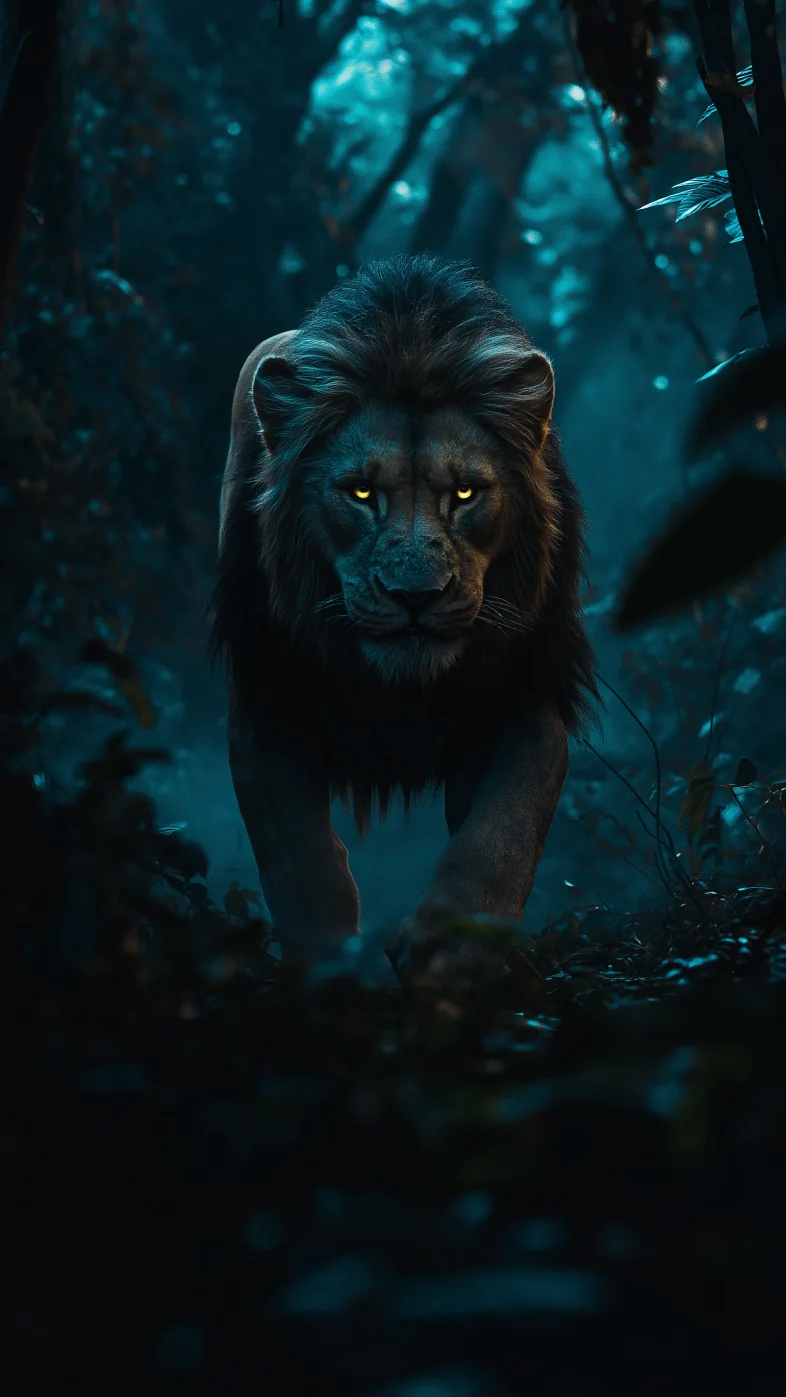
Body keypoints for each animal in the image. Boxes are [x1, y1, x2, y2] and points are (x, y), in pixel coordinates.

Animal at [210, 255, 597, 961]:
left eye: (465, 493)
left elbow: (504, 832)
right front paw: (332, 964)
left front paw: (451, 945)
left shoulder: (524, 694)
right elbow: (299, 863)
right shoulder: (266, 701)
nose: (416, 596)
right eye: (362, 493)